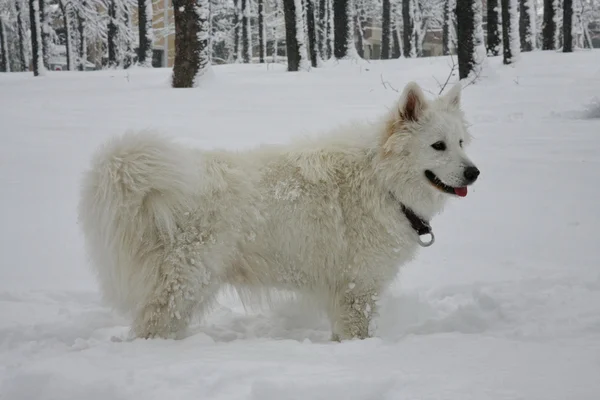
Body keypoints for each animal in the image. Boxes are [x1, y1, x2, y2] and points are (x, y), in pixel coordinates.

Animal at [78, 81, 478, 340]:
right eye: (438, 146)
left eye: (461, 142)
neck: (382, 180)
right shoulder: (357, 288)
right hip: (184, 285)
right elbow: (358, 332)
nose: (474, 172)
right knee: (151, 328)